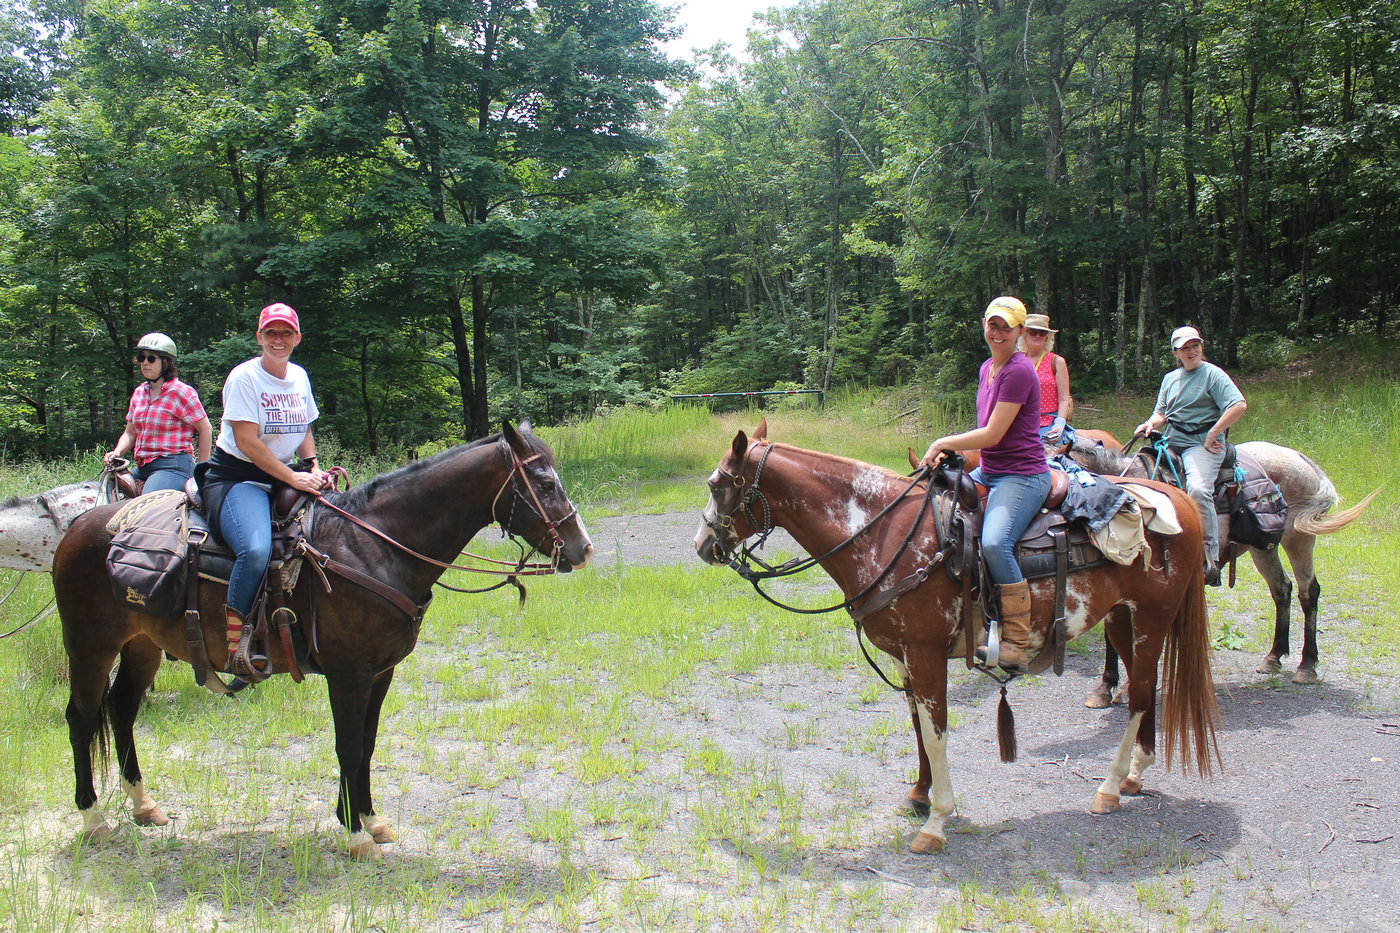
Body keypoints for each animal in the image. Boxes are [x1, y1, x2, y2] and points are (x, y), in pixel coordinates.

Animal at [51, 420, 590, 857]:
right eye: (545, 483)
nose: (581, 549)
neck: (371, 547)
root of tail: (80, 525)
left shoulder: (380, 672)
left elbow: (366, 744)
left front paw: (369, 820)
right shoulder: (347, 674)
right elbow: (347, 746)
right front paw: (353, 835)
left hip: (142, 645)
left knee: (121, 709)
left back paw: (144, 806)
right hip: (90, 647)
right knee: (81, 717)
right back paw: (93, 817)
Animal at [694, 417, 1220, 851]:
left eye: (717, 484)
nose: (702, 546)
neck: (884, 534)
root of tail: (1175, 501)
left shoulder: (926, 656)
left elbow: (936, 730)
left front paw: (936, 820)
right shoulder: (905, 658)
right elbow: (918, 728)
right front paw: (918, 795)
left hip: (1152, 619)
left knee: (1139, 697)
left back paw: (1109, 787)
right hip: (1121, 620)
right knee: (1145, 688)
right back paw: (1134, 774)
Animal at [1064, 431, 1383, 689]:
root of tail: (1299, 457)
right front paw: (1106, 687)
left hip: (1298, 538)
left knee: (1309, 592)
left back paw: (1307, 666)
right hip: (1263, 548)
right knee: (1282, 589)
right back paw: (1274, 656)